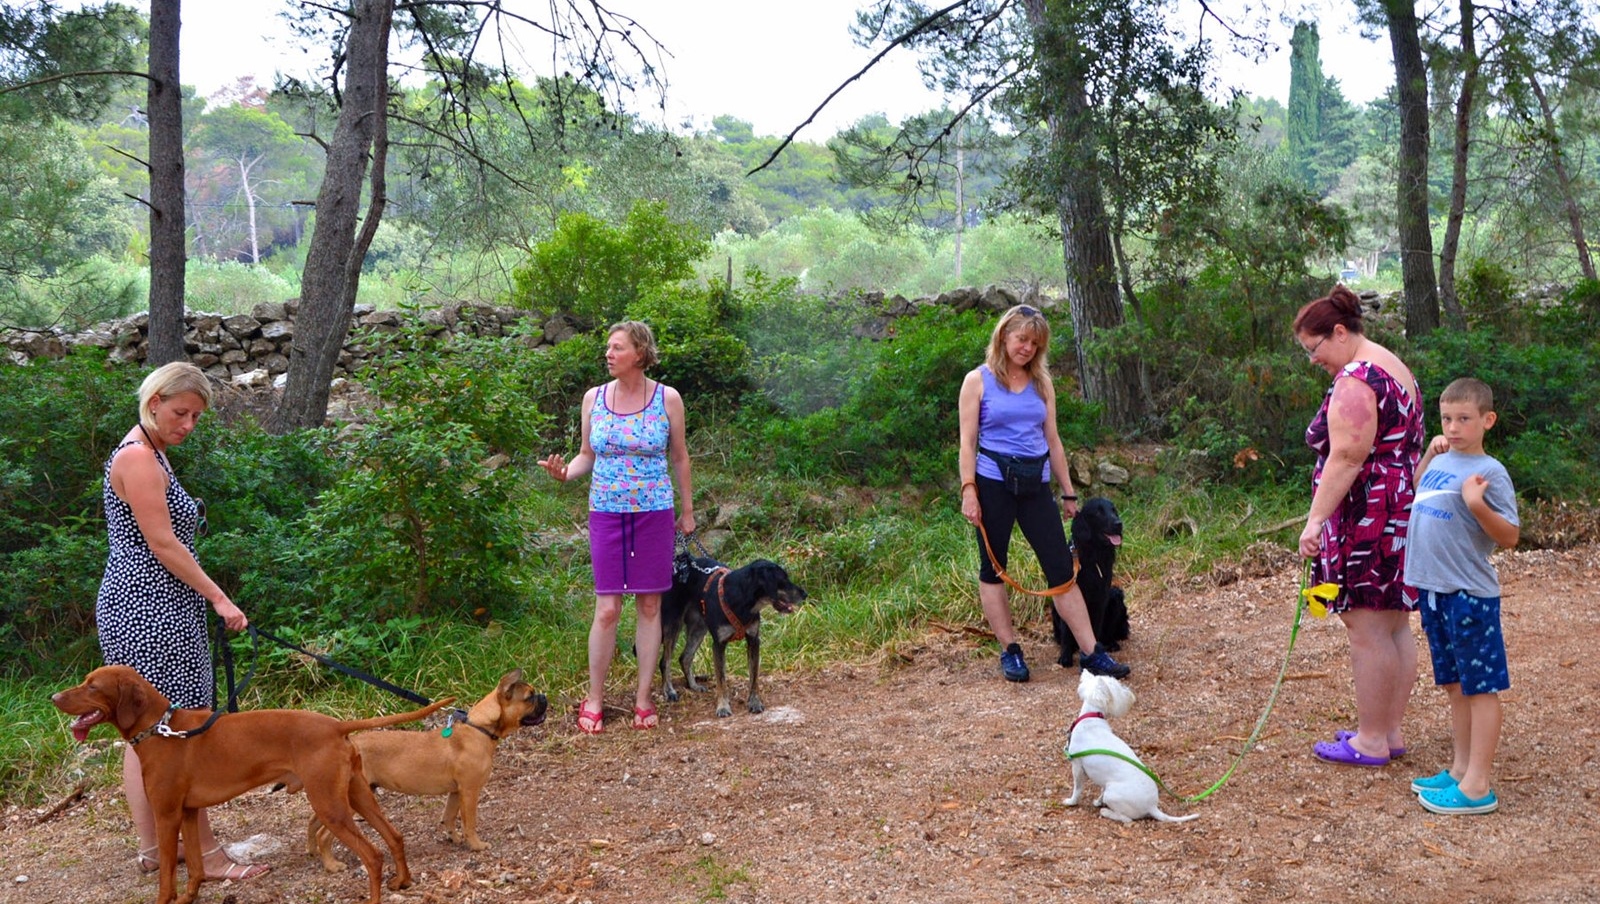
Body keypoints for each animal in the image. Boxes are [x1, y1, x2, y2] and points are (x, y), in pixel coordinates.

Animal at [53, 662, 451, 902]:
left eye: (92, 686)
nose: (54, 697)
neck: (163, 729)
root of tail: (335, 724)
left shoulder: (167, 815)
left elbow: (167, 876)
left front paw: (169, 899)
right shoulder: (189, 812)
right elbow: (196, 868)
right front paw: (190, 897)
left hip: (329, 805)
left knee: (373, 854)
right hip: (356, 796)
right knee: (394, 837)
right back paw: (402, 881)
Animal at [300, 665, 550, 870]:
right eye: (529, 697)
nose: (544, 696)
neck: (480, 727)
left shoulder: (456, 792)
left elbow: (449, 817)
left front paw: (455, 838)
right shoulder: (470, 791)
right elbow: (470, 822)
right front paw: (476, 844)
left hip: (338, 796)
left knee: (314, 821)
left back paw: (313, 852)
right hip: (352, 798)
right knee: (324, 834)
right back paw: (332, 865)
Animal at [656, 553, 806, 716]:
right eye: (783, 579)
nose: (805, 594)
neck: (741, 598)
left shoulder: (753, 640)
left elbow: (754, 676)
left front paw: (754, 702)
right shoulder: (719, 644)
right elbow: (721, 679)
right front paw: (723, 706)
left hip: (699, 628)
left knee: (685, 657)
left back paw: (693, 686)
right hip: (673, 624)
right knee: (665, 661)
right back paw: (669, 691)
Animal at [1056, 496, 1132, 665]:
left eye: (1114, 510)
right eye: (1098, 512)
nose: (1119, 524)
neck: (1093, 556)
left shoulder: (1101, 598)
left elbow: (1095, 628)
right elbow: (1067, 630)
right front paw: (1065, 656)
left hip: (1115, 595)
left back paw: (1110, 644)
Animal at [1062, 668, 1203, 825]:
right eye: (1118, 688)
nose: (1130, 695)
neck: (1091, 718)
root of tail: (1152, 806)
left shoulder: (1077, 766)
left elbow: (1077, 788)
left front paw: (1071, 801)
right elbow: (1100, 790)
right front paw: (1098, 801)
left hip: (1113, 793)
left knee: (1127, 819)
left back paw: (1106, 812)